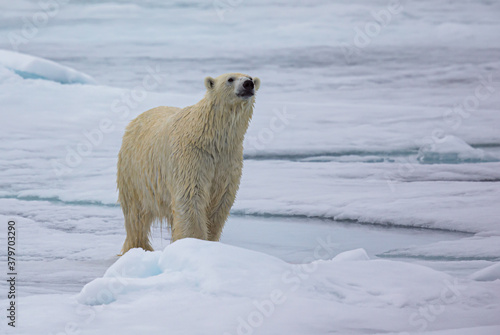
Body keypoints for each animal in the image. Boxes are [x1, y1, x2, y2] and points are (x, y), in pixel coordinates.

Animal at [115, 72, 260, 253]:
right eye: (230, 79)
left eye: (251, 78)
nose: (248, 84)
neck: (212, 136)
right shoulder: (192, 156)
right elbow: (191, 195)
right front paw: (194, 243)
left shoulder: (227, 160)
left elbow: (221, 199)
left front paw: (209, 242)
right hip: (134, 174)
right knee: (136, 215)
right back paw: (138, 247)